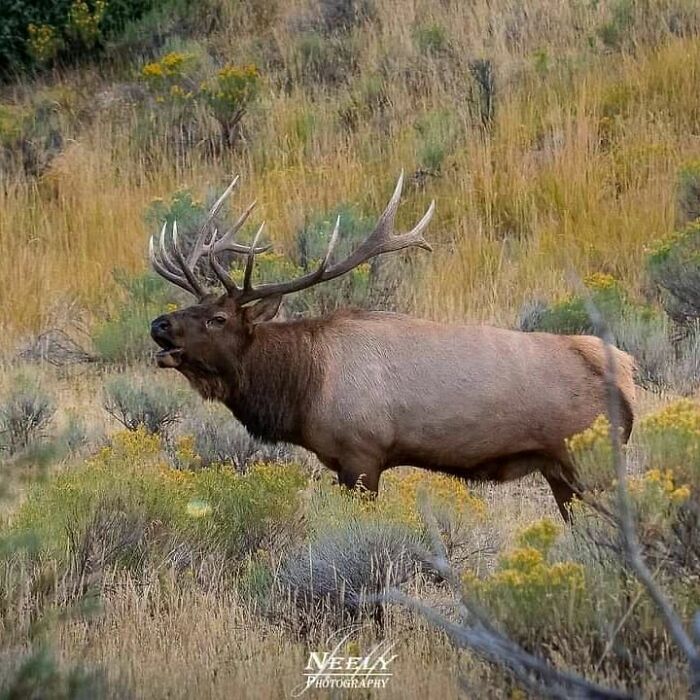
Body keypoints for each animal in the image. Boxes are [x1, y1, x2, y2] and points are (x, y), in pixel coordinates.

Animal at [149, 174, 636, 520]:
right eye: (193, 306)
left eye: (218, 319)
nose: (158, 324)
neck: (304, 388)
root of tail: (626, 377)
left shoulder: (362, 455)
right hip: (561, 470)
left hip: (585, 460)